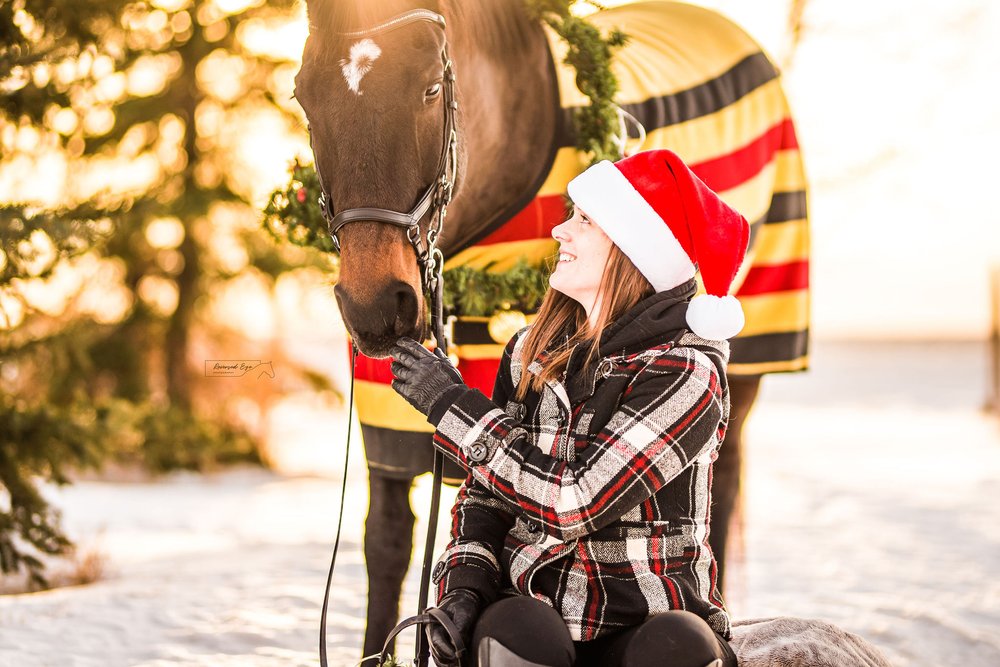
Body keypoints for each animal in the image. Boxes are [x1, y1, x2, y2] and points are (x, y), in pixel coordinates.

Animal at [292, 0, 808, 664]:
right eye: (304, 95)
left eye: (430, 87)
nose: (375, 306)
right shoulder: (385, 413)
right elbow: (386, 542)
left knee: (723, 486)